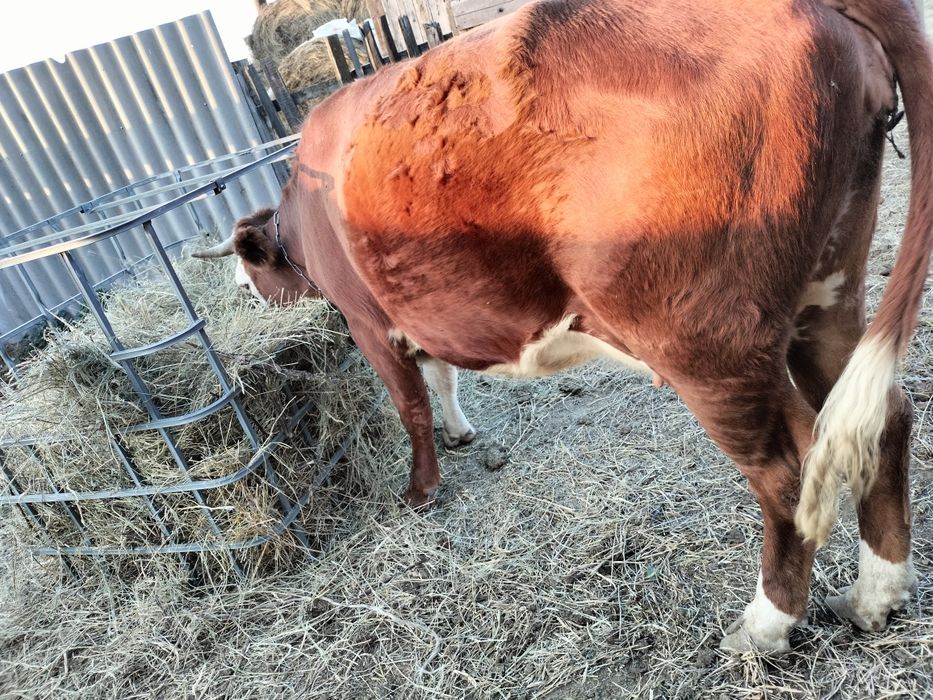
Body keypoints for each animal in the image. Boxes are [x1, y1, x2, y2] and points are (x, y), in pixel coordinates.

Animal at [195, 0, 933, 653]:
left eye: (248, 264)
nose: (238, 286)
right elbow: (443, 378)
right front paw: (461, 432)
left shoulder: (369, 322)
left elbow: (410, 406)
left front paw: (420, 488)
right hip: (826, 295)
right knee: (881, 418)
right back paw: (876, 595)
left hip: (706, 345)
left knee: (789, 469)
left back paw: (766, 624)